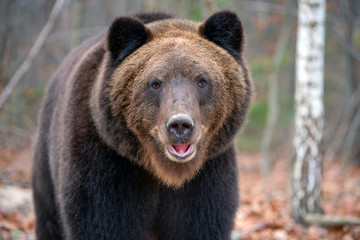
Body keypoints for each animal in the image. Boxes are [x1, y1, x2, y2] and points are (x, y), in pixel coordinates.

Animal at [31, 10, 253, 239]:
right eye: (155, 82)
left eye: (202, 80)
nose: (180, 125)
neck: (163, 171)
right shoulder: (105, 163)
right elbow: (102, 222)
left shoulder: (207, 174)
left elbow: (199, 223)